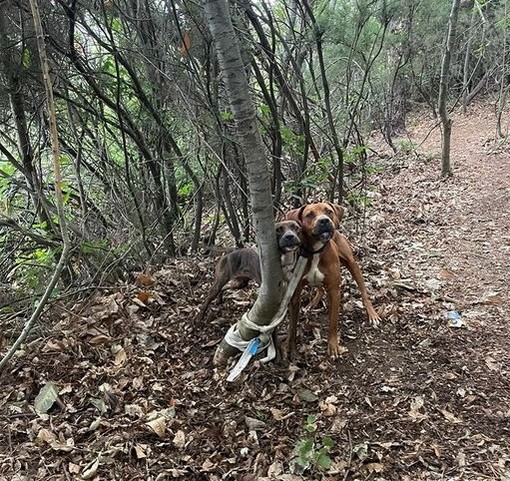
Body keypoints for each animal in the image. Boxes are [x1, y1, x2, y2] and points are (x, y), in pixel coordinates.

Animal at [286, 202, 378, 356]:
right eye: (309, 214)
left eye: (329, 211)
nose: (324, 221)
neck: (316, 250)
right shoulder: (296, 294)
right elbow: (292, 325)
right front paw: (290, 346)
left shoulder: (335, 291)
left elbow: (333, 322)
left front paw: (333, 346)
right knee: (320, 289)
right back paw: (312, 303)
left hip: (352, 264)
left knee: (363, 291)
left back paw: (372, 314)